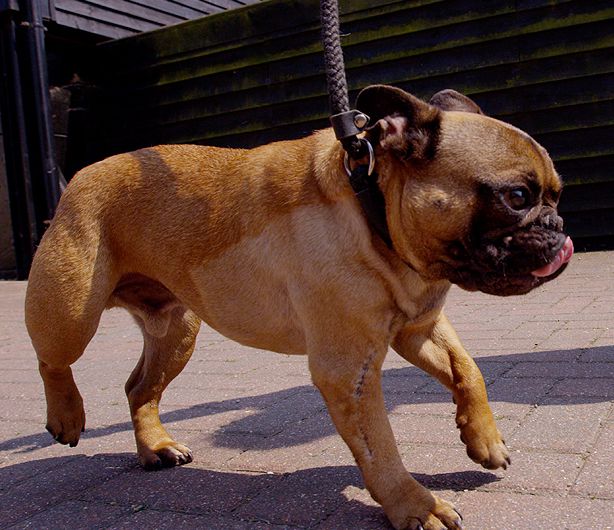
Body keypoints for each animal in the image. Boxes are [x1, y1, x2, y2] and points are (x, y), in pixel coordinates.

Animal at [24, 86, 572, 528]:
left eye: (555, 195)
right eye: (517, 197)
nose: (558, 226)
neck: (371, 208)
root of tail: (81, 175)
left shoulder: (418, 327)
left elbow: (468, 369)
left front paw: (484, 440)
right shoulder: (348, 370)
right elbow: (380, 447)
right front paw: (415, 506)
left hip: (176, 331)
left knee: (140, 387)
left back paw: (156, 447)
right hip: (70, 309)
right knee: (53, 359)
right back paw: (67, 415)